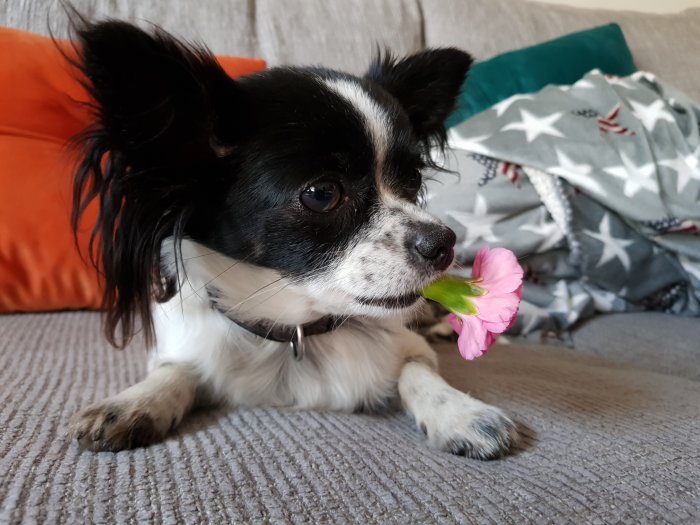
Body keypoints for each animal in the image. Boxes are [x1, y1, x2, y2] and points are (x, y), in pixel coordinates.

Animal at [68, 19, 516, 458]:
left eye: (414, 181)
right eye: (321, 194)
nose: (443, 242)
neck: (296, 330)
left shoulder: (407, 348)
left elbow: (418, 373)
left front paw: (462, 412)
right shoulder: (187, 348)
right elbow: (173, 370)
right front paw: (134, 402)